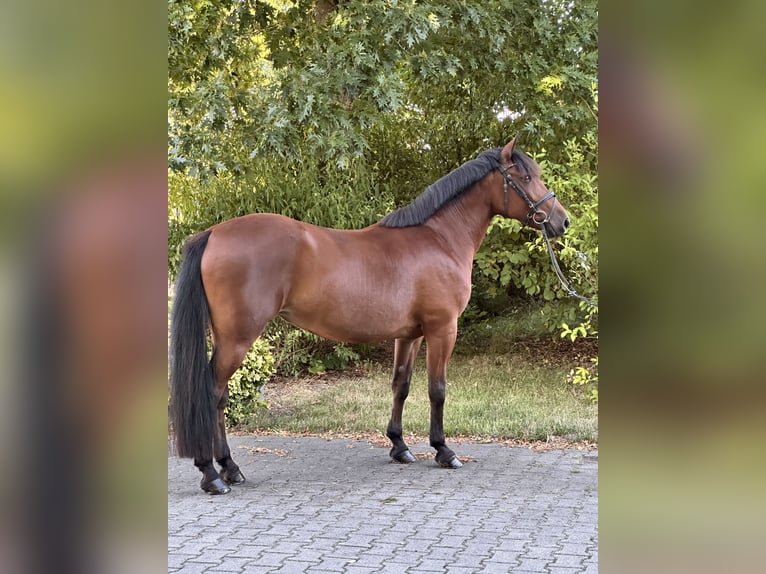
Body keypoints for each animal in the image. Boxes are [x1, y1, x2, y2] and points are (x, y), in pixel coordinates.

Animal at [169, 137, 570, 494]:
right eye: (527, 177)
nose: (562, 221)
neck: (439, 239)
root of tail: (213, 233)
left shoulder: (409, 333)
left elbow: (401, 385)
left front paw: (400, 446)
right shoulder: (443, 328)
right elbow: (437, 389)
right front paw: (443, 450)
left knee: (219, 398)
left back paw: (229, 468)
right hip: (237, 338)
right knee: (213, 393)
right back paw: (213, 474)